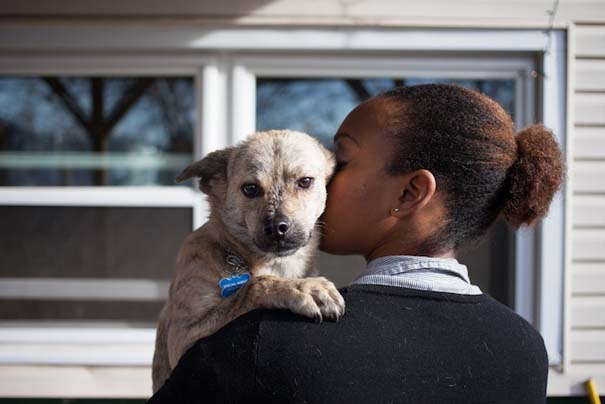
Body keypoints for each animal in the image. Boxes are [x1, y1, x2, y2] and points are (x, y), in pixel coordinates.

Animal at [152, 129, 344, 392]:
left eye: (305, 181)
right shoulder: (181, 337)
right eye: (250, 189)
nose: (277, 228)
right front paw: (303, 288)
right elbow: (253, 286)